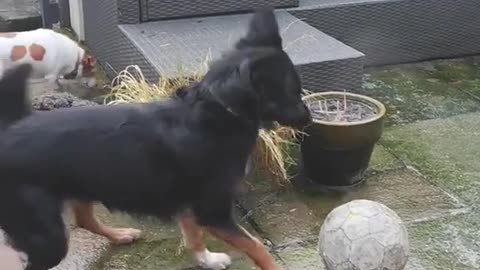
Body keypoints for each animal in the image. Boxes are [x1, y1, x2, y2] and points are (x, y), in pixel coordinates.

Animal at [0, 8, 312, 270]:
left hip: (80, 187)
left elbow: (193, 234)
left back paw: (120, 234)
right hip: (47, 235)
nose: (308, 118)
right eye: (293, 92)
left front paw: (206, 259)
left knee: (85, 220)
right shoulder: (213, 211)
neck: (218, 110)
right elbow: (258, 246)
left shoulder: (188, 203)